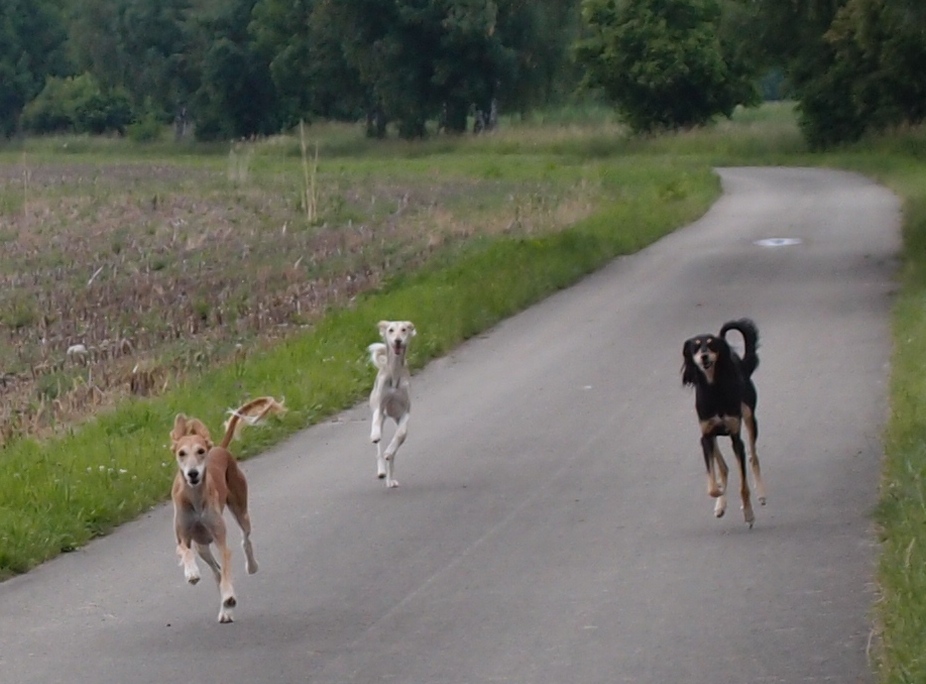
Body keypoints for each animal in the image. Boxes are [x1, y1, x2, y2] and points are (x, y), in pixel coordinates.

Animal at [170, 396, 285, 622]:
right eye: (181, 453)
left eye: (200, 452)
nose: (193, 474)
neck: (195, 498)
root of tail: (220, 448)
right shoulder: (183, 536)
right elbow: (184, 551)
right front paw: (191, 573)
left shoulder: (220, 539)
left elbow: (226, 564)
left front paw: (229, 597)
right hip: (202, 545)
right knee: (215, 571)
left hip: (240, 509)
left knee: (244, 541)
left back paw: (249, 570)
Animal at [368, 320, 416, 488]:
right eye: (390, 330)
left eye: (404, 329)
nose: (398, 341)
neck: (394, 374)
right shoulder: (380, 406)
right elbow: (376, 421)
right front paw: (375, 435)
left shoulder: (405, 411)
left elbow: (401, 434)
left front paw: (390, 452)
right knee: (378, 449)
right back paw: (382, 471)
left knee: (393, 452)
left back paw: (390, 478)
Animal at [681, 319, 766, 527]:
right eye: (695, 347)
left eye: (711, 344)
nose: (704, 356)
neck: (714, 389)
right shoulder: (705, 436)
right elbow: (713, 484)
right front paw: (719, 494)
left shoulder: (736, 438)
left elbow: (743, 485)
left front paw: (749, 514)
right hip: (712, 437)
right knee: (723, 468)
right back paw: (721, 501)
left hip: (750, 418)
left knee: (753, 457)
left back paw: (761, 494)